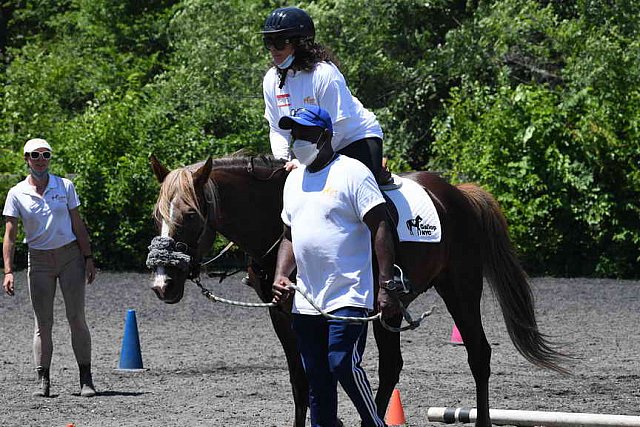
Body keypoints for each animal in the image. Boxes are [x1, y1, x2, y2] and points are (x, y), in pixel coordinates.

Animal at [148, 154, 568, 427]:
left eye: (190, 215)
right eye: (157, 215)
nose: (162, 284)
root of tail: (458, 194)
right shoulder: (283, 314)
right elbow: (303, 380)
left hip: (460, 289)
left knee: (478, 354)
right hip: (393, 309)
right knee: (392, 366)